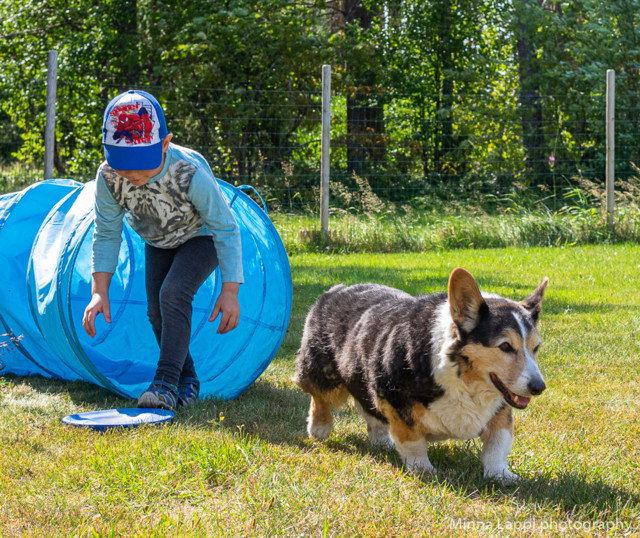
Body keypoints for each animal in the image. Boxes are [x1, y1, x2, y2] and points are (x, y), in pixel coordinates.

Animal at [292, 266, 548, 482]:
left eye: (536, 347)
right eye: (505, 346)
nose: (539, 388)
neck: (463, 380)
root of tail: (336, 289)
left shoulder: (501, 409)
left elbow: (498, 443)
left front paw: (500, 475)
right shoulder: (397, 402)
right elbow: (413, 441)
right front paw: (422, 470)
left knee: (370, 411)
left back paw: (381, 440)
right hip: (323, 373)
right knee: (318, 396)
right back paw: (320, 427)